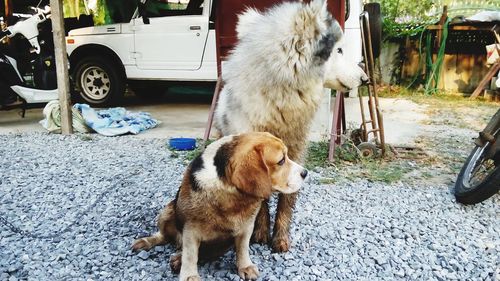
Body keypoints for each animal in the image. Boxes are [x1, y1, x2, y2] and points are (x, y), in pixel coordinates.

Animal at [131, 132, 306, 280]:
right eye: (281, 161)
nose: (305, 173)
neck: (231, 194)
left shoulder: (247, 226)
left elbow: (243, 249)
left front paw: (245, 267)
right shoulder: (190, 230)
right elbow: (190, 255)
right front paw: (189, 276)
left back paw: (177, 259)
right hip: (167, 212)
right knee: (165, 237)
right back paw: (147, 242)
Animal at [213, 0, 366, 252]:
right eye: (339, 50)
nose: (365, 79)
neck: (281, 100)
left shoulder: (296, 152)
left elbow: (287, 200)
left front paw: (281, 238)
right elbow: (261, 199)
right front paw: (261, 232)